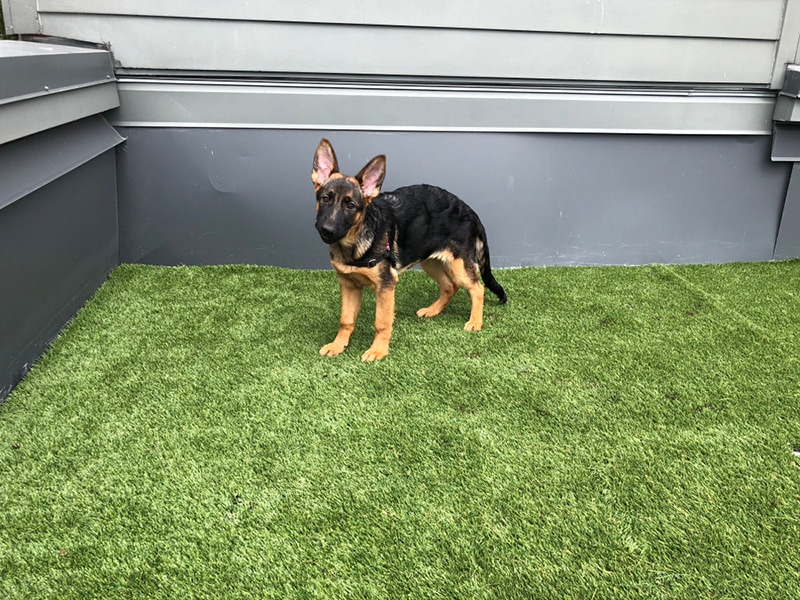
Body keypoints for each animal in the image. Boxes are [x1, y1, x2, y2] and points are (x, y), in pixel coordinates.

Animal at [312, 138, 506, 358]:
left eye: (350, 205)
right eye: (325, 199)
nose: (326, 230)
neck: (354, 242)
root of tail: (469, 210)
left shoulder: (386, 286)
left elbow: (381, 321)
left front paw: (378, 350)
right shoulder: (349, 285)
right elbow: (346, 319)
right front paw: (338, 345)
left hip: (459, 265)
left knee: (477, 288)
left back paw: (475, 322)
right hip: (430, 261)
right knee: (450, 286)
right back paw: (433, 310)